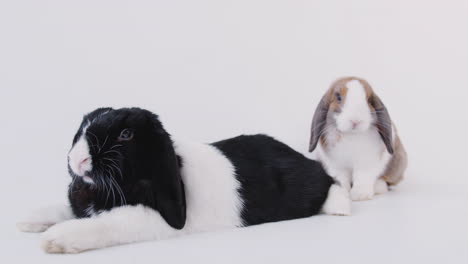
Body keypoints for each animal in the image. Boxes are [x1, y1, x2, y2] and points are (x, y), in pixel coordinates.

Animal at [17, 108, 332, 254]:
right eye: (83, 127)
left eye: (126, 135)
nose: (77, 160)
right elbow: (68, 209)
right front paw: (31, 219)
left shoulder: (145, 219)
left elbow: (105, 224)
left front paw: (56, 239)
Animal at [310, 76, 406, 214]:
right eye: (338, 97)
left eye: (369, 99)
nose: (355, 121)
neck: (351, 135)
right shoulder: (336, 166)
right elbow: (341, 178)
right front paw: (344, 192)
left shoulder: (367, 163)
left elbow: (363, 177)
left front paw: (360, 196)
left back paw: (378, 187)